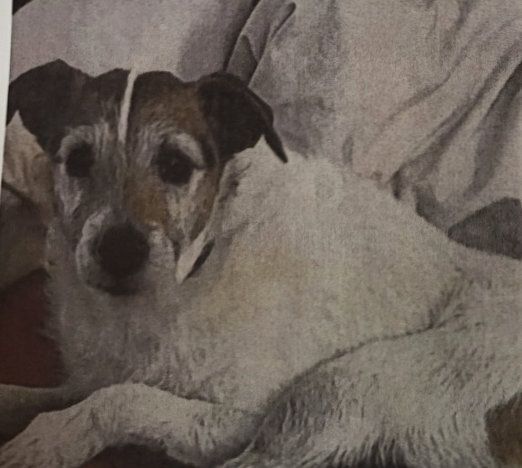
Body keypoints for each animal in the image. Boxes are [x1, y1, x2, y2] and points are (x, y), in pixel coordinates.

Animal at [0, 60, 521, 468]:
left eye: (176, 165)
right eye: (77, 160)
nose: (119, 251)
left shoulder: (236, 418)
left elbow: (120, 399)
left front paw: (50, 440)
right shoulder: (90, 373)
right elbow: (68, 389)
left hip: (338, 388)